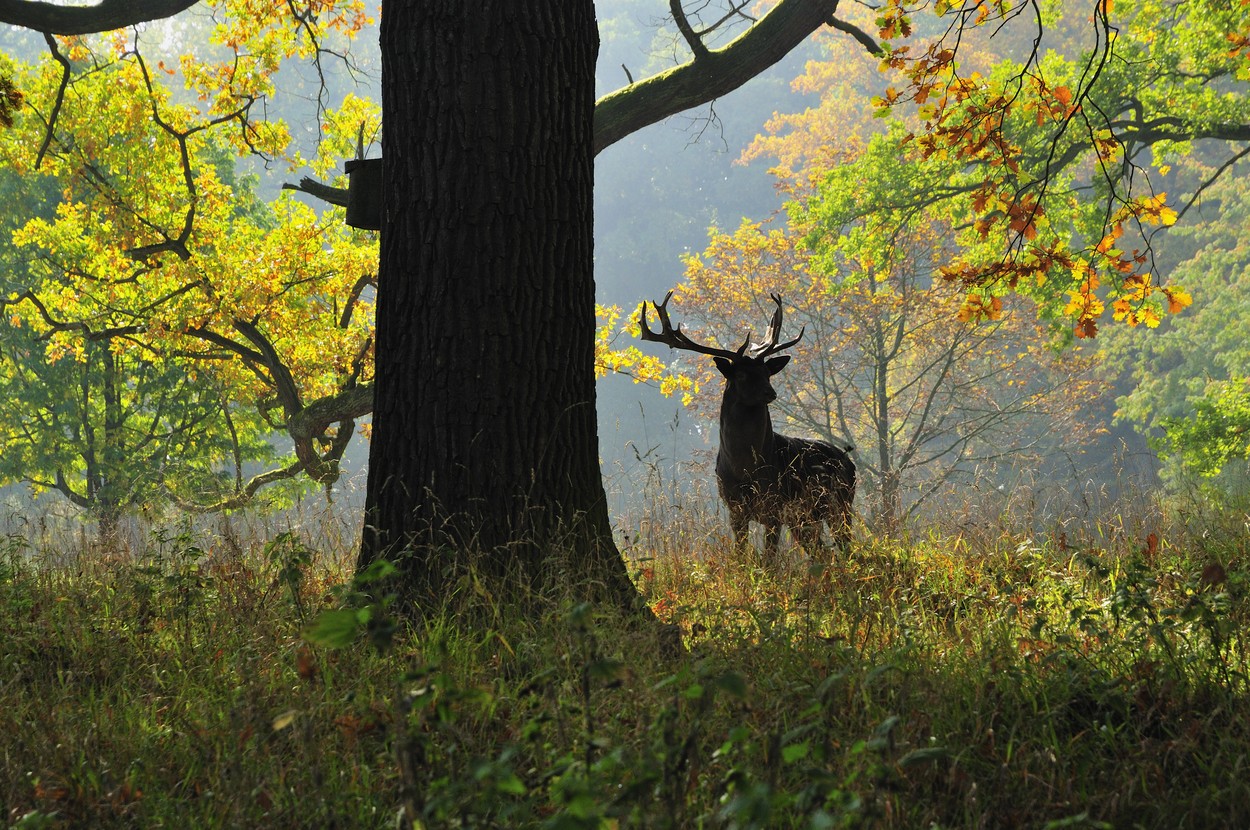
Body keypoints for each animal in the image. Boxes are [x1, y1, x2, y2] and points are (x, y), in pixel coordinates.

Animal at [640, 291, 855, 565]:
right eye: (741, 375)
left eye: (767, 373)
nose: (770, 392)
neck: (746, 468)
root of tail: (849, 460)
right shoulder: (735, 510)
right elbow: (741, 554)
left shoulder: (774, 507)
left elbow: (770, 559)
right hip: (806, 518)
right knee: (823, 553)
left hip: (841, 504)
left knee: (847, 547)